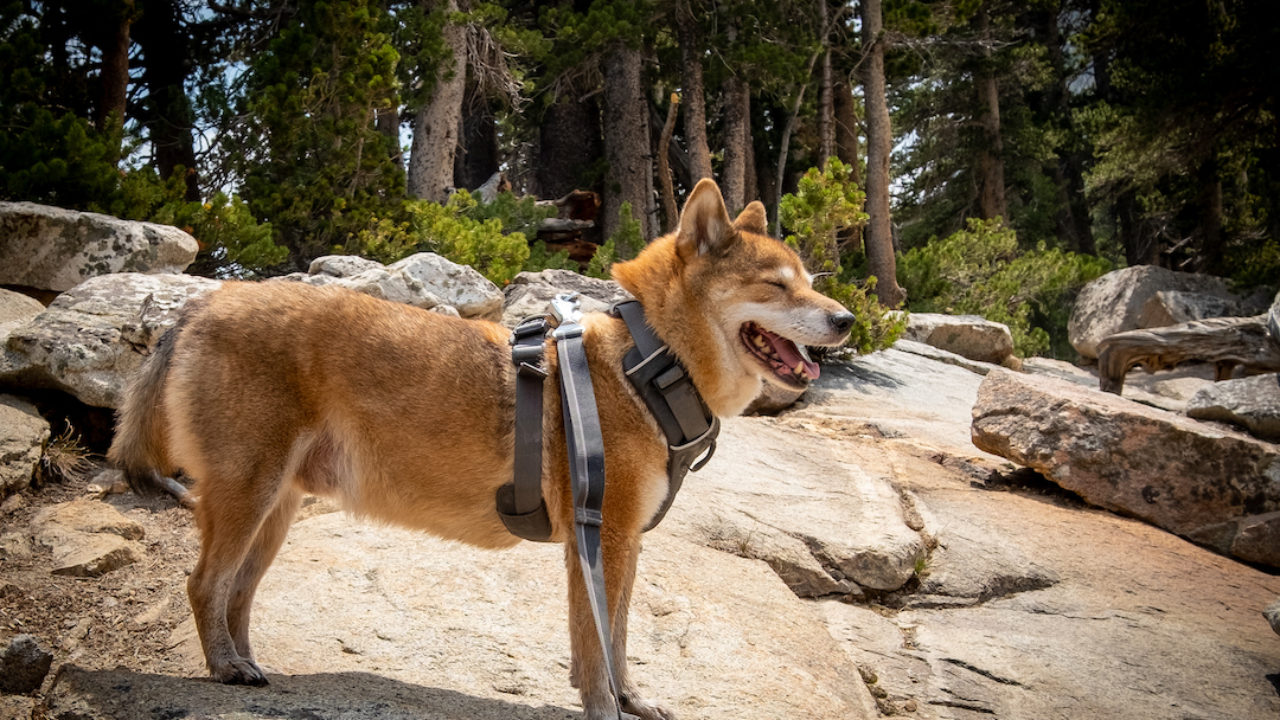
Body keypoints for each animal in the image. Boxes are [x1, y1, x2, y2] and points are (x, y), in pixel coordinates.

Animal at [107, 176, 849, 712]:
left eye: (810, 283)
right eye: (777, 286)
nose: (845, 320)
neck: (646, 363)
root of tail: (200, 303)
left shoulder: (620, 546)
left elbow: (618, 643)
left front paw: (634, 701)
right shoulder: (599, 542)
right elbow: (598, 653)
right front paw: (609, 708)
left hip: (274, 513)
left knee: (235, 594)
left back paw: (247, 664)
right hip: (248, 498)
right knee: (204, 584)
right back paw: (225, 669)